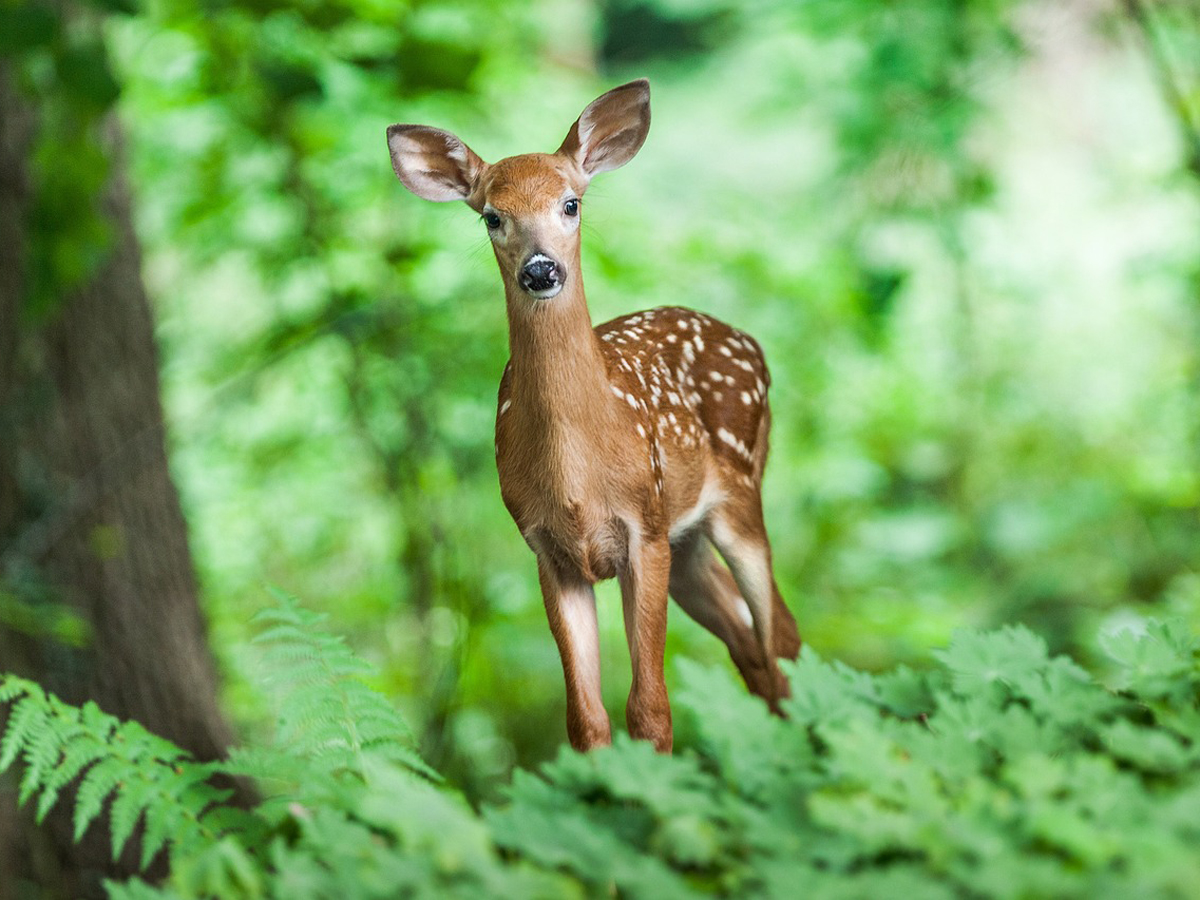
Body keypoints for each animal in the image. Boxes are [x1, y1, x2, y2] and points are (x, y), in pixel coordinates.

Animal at [386, 79, 800, 753]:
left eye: (571, 204)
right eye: (491, 216)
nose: (540, 269)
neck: (578, 475)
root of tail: (750, 342)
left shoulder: (643, 528)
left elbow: (650, 710)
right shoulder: (548, 550)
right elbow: (586, 719)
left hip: (737, 492)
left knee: (780, 635)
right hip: (687, 542)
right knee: (750, 644)